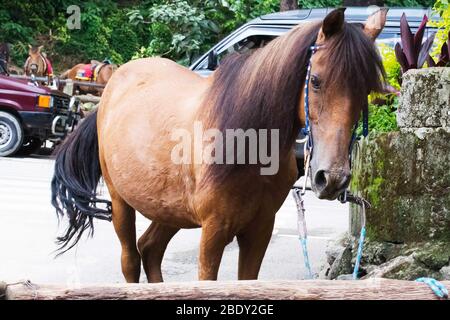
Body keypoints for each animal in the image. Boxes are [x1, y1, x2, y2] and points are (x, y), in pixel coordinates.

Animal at [50, 8, 386, 282]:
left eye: (366, 91)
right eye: (315, 81)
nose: (332, 177)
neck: (250, 146)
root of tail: (111, 87)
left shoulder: (259, 230)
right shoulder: (213, 231)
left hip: (168, 207)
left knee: (151, 249)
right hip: (121, 200)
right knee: (131, 260)